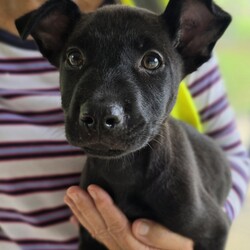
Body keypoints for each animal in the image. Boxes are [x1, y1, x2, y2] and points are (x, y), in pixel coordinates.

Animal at [15, 0, 231, 249]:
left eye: (152, 61)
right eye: (74, 58)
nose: (99, 115)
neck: (124, 169)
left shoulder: (212, 230)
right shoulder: (88, 238)